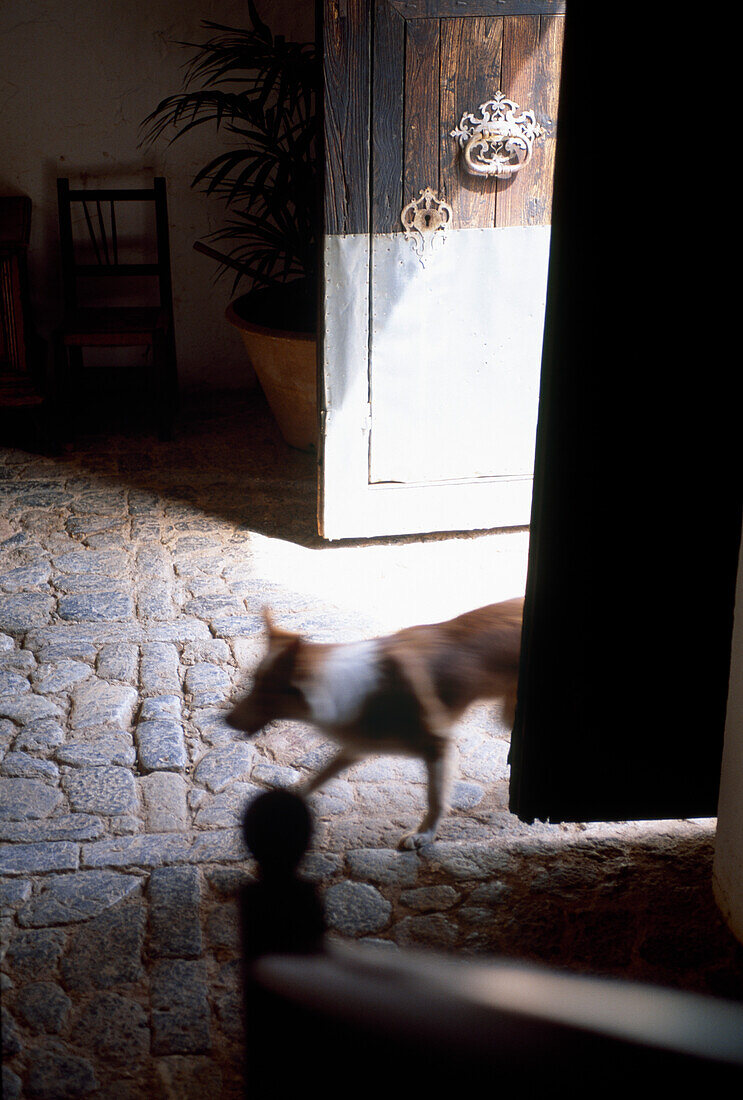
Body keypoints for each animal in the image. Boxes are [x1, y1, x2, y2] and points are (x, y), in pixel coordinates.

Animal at [226, 598, 523, 844]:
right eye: (253, 682)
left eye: (265, 693)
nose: (225, 719)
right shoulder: (357, 745)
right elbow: (317, 777)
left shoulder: (437, 743)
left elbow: (435, 798)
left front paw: (423, 835)